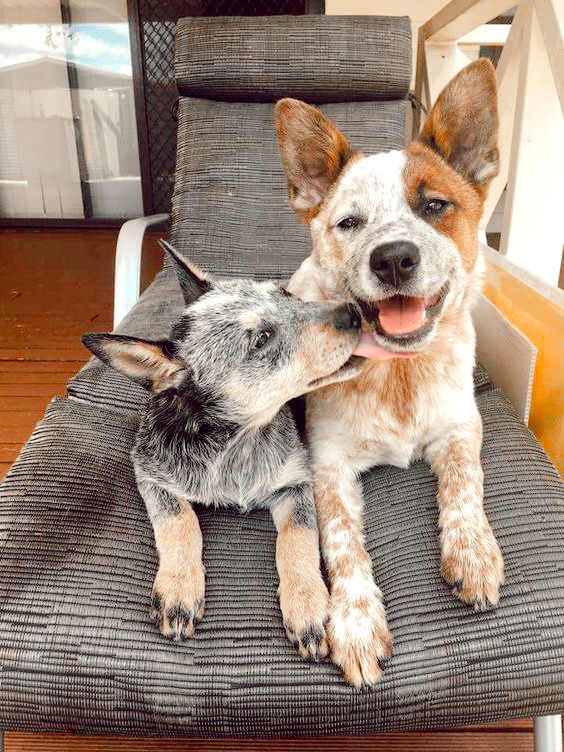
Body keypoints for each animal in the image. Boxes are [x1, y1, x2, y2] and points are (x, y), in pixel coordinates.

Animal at [81, 244, 364, 660]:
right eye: (261, 339)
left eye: (287, 295)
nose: (356, 311)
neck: (238, 443)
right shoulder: (148, 472)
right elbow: (178, 520)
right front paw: (179, 586)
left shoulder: (296, 485)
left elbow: (296, 539)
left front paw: (307, 602)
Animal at [276, 60, 504, 688]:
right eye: (350, 222)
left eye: (435, 206)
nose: (395, 258)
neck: (400, 375)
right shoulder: (327, 466)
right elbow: (341, 542)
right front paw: (355, 623)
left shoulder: (460, 427)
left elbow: (465, 483)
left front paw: (473, 553)